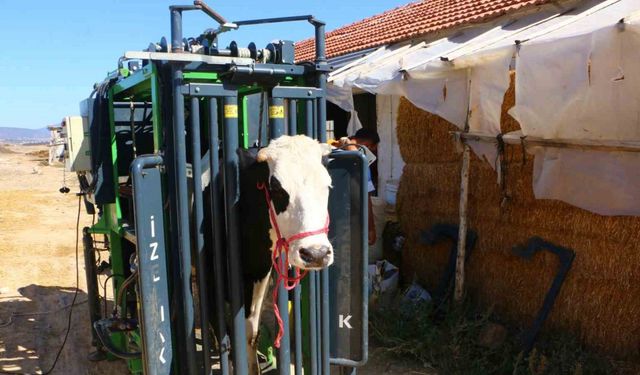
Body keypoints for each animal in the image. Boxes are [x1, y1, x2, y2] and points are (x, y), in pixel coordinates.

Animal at [205, 134, 336, 374]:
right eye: (276, 189)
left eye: (328, 186)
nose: (316, 253)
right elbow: (225, 332)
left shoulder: (260, 273)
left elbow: (250, 332)